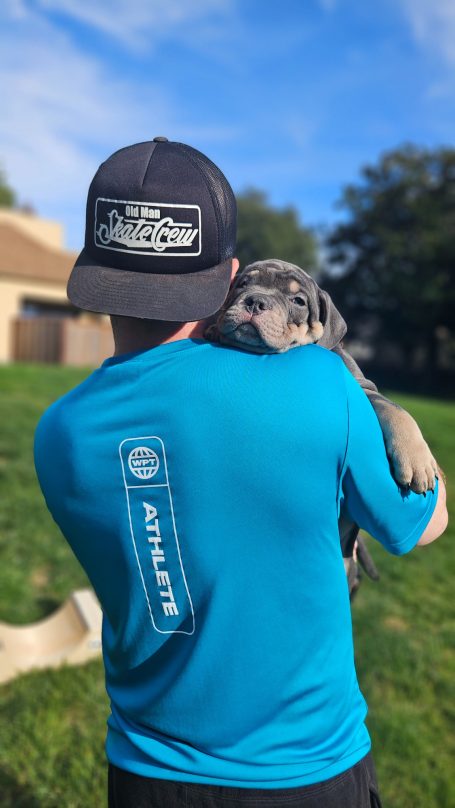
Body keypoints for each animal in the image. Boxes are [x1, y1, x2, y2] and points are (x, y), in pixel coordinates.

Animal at [206, 258, 438, 600]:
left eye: (298, 301)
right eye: (242, 285)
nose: (255, 301)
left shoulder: (364, 389)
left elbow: (396, 410)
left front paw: (419, 461)